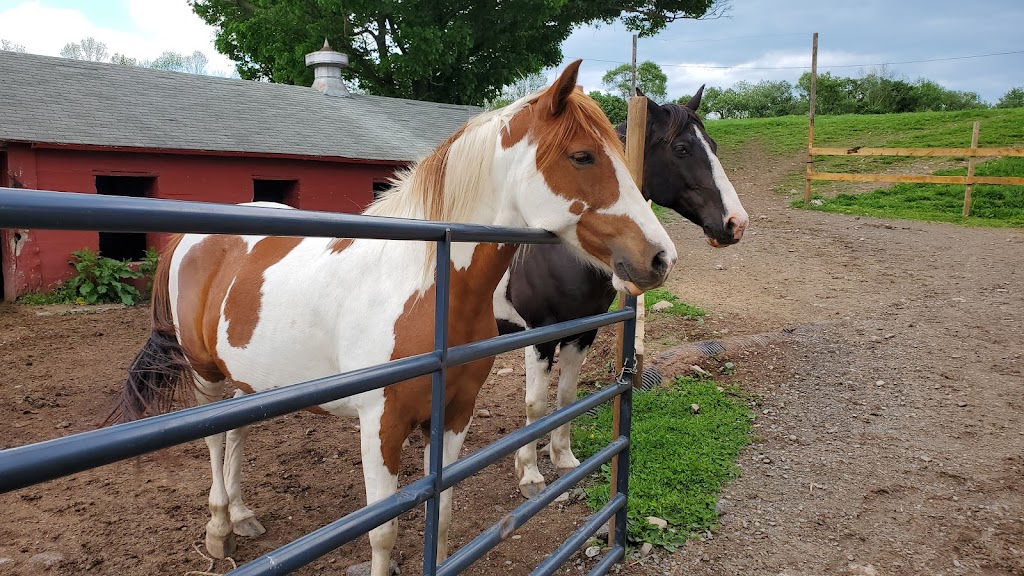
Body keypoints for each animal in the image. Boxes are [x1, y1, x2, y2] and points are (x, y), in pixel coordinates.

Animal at [114, 59, 671, 573]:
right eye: (582, 156)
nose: (660, 257)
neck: (424, 286)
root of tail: (189, 237)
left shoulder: (454, 413)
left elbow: (441, 515)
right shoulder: (379, 425)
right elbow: (382, 531)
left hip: (248, 380)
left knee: (237, 432)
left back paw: (244, 515)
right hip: (206, 375)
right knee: (214, 438)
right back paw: (219, 529)